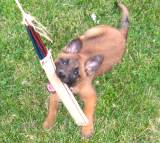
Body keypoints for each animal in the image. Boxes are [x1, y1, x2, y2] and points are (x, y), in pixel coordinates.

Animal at [43, 2, 129, 138]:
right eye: (64, 61)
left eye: (75, 72)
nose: (60, 74)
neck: (73, 87)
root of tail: (121, 33)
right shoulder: (56, 92)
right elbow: (52, 109)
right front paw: (49, 122)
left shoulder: (90, 96)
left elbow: (88, 112)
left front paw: (87, 128)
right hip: (91, 32)